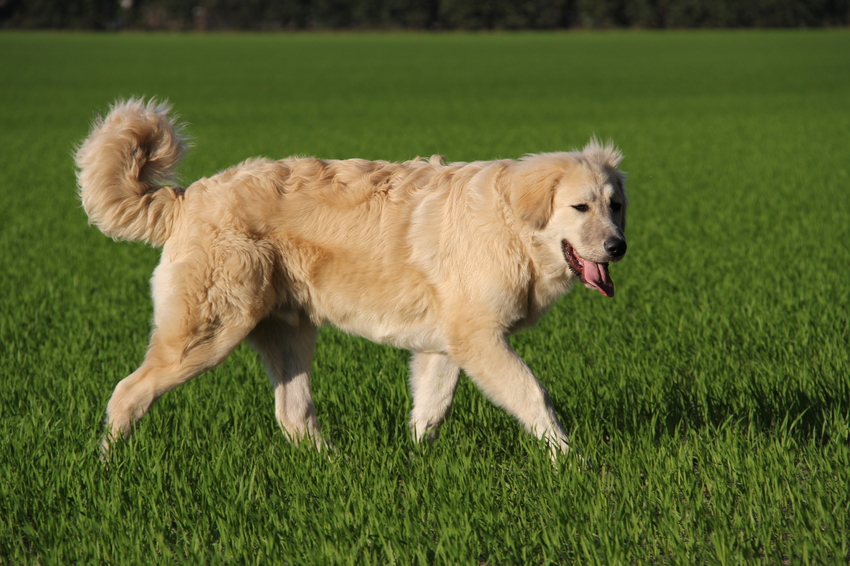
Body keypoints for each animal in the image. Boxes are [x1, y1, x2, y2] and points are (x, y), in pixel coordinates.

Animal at [76, 99, 628, 460]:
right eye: (580, 208)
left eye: (615, 206)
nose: (617, 247)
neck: (512, 222)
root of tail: (187, 196)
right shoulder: (480, 340)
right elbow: (535, 396)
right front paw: (571, 460)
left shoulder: (445, 345)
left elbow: (430, 409)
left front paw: (416, 462)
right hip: (206, 334)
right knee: (127, 392)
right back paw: (107, 465)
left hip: (289, 335)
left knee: (294, 414)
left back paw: (336, 469)